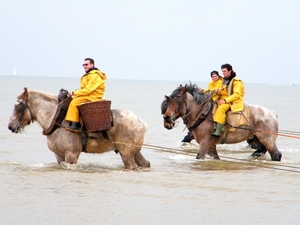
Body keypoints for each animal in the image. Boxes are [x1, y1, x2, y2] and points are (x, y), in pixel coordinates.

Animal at [7, 87, 150, 170]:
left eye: (19, 106)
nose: (10, 126)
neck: (57, 118)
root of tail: (140, 122)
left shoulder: (71, 155)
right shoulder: (59, 155)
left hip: (126, 153)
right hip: (135, 152)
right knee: (145, 163)